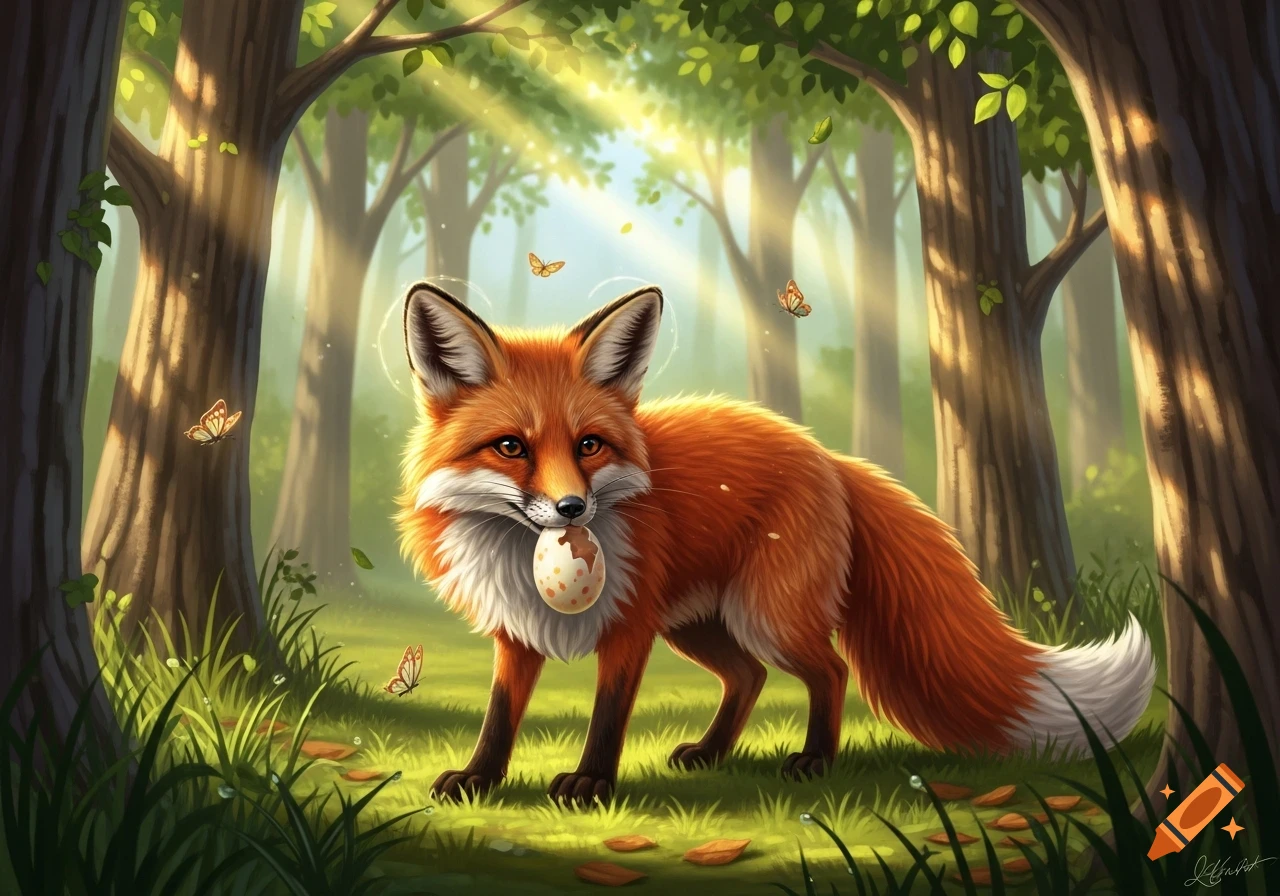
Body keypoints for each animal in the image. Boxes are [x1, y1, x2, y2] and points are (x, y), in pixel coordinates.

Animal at [396, 281, 1156, 805]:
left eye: (588, 446)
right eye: (511, 448)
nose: (571, 507)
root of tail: (827, 456)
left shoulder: (631, 629)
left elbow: (608, 715)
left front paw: (590, 784)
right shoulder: (518, 634)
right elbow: (500, 715)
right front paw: (480, 779)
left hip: (765, 615)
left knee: (829, 671)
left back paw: (815, 761)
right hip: (701, 622)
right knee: (748, 676)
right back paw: (710, 753)